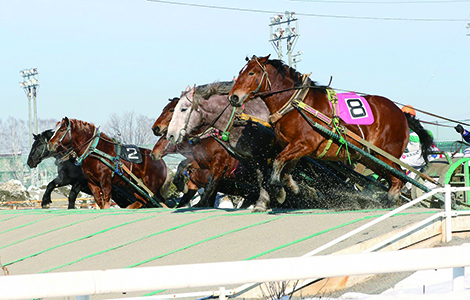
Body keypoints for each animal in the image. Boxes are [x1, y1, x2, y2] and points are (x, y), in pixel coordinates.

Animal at [228, 55, 434, 206]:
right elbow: (286, 169)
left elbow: (278, 162)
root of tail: (401, 114)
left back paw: (392, 200)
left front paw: (277, 188)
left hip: (385, 154)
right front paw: (293, 188)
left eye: (251, 72)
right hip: (370, 158)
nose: (233, 97)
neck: (296, 104)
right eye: (240, 72)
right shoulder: (293, 147)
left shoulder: (304, 144)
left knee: (400, 178)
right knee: (394, 179)